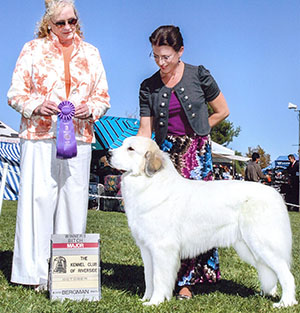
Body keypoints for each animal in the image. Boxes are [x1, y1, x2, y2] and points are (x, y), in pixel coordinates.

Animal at [109, 135, 298, 306]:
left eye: (130, 149)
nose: (108, 153)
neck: (149, 182)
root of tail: (275, 194)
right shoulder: (147, 249)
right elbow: (149, 278)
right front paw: (145, 299)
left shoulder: (162, 248)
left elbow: (158, 278)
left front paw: (155, 302)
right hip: (249, 248)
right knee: (269, 272)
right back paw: (267, 295)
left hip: (263, 244)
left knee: (286, 275)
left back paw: (285, 303)